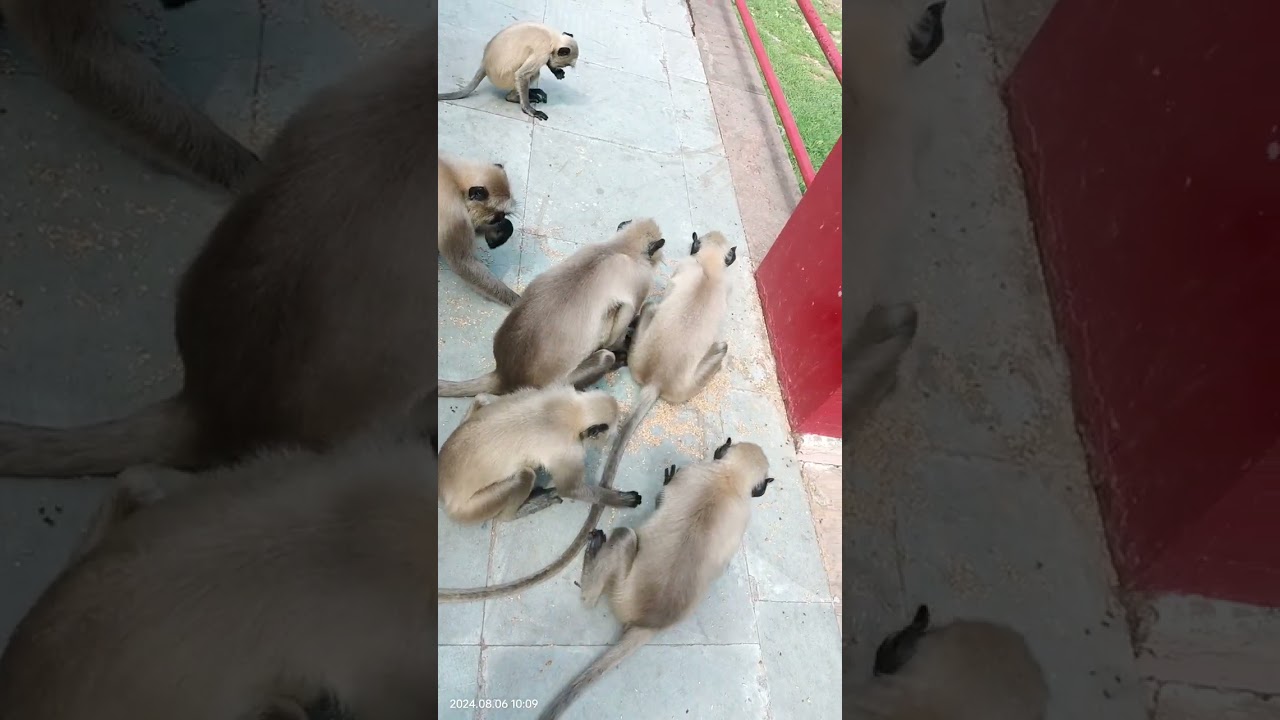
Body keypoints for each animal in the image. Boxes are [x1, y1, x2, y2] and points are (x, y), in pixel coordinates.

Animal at [436, 386, 645, 603]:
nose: (610, 438)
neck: (573, 410)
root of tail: (444, 493)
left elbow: (489, 398)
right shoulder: (568, 449)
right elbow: (569, 488)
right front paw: (620, 499)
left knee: (481, 398)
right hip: (469, 509)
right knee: (524, 476)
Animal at [438, 22, 579, 121]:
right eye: (566, 64)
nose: (561, 67)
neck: (552, 37)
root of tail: (485, 63)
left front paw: (556, 71)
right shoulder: (543, 51)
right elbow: (522, 74)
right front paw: (530, 110)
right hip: (504, 77)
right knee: (532, 73)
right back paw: (514, 97)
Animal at [438, 153, 521, 306]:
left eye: (502, 216)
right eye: (496, 217)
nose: (501, 220)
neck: (454, 178)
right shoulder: (454, 214)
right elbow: (463, 263)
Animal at [438, 218, 666, 399]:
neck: (619, 248)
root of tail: (504, 374)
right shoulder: (638, 285)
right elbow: (617, 331)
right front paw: (624, 344)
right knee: (605, 356)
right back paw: (615, 360)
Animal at [536, 437, 774, 720]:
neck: (728, 478)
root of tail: (651, 623)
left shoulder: (693, 473)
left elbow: (661, 500)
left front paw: (665, 483)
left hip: (621, 593)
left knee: (622, 540)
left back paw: (591, 570)